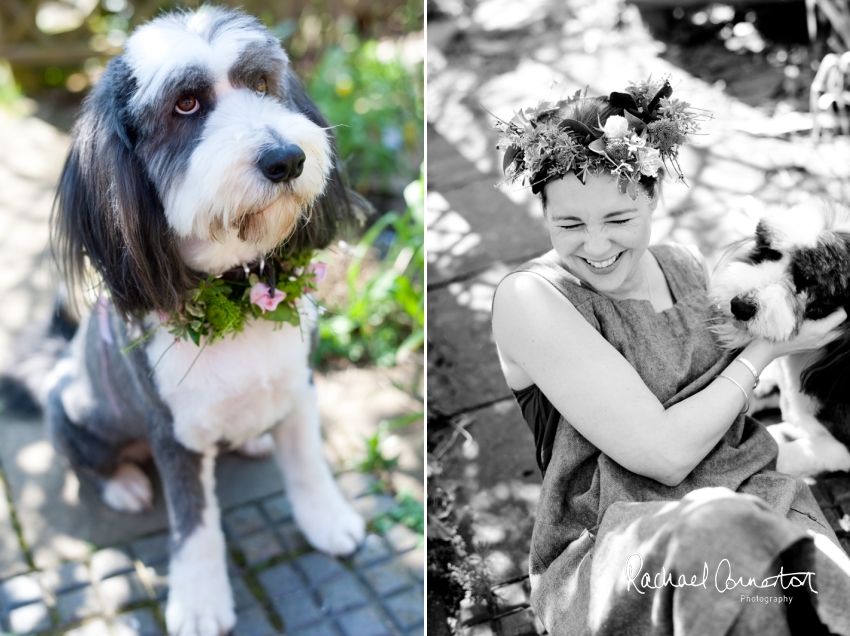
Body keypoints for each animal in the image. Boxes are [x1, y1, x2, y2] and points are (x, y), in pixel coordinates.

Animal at [45, 6, 364, 636]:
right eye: (186, 105)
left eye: (262, 83)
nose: (287, 158)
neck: (237, 289)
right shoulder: (176, 430)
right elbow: (194, 523)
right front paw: (198, 600)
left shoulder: (300, 384)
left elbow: (308, 464)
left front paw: (326, 518)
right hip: (70, 406)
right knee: (89, 459)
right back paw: (123, 485)